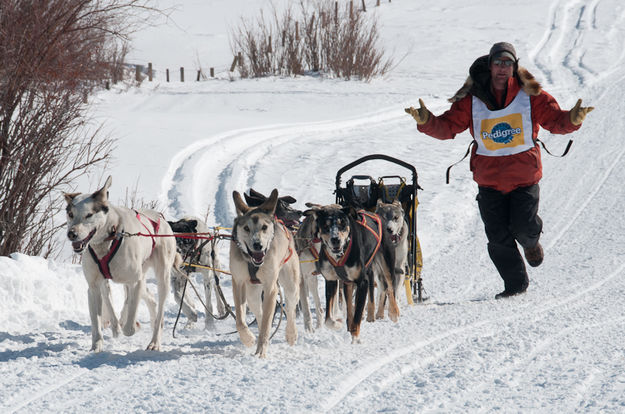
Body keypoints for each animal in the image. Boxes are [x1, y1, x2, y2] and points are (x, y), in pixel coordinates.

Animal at [65, 176, 177, 350]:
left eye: (89, 215)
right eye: (71, 214)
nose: (71, 234)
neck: (108, 238)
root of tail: (160, 218)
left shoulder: (134, 282)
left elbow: (129, 326)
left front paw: (128, 325)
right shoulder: (94, 286)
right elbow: (96, 321)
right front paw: (96, 345)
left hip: (162, 277)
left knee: (158, 309)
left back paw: (154, 341)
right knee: (149, 298)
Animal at [229, 189, 300, 358]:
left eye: (264, 227)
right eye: (246, 228)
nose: (258, 245)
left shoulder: (270, 288)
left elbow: (268, 322)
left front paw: (261, 351)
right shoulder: (238, 283)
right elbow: (240, 320)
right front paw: (248, 338)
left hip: (291, 284)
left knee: (290, 309)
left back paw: (291, 334)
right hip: (252, 294)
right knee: (260, 313)